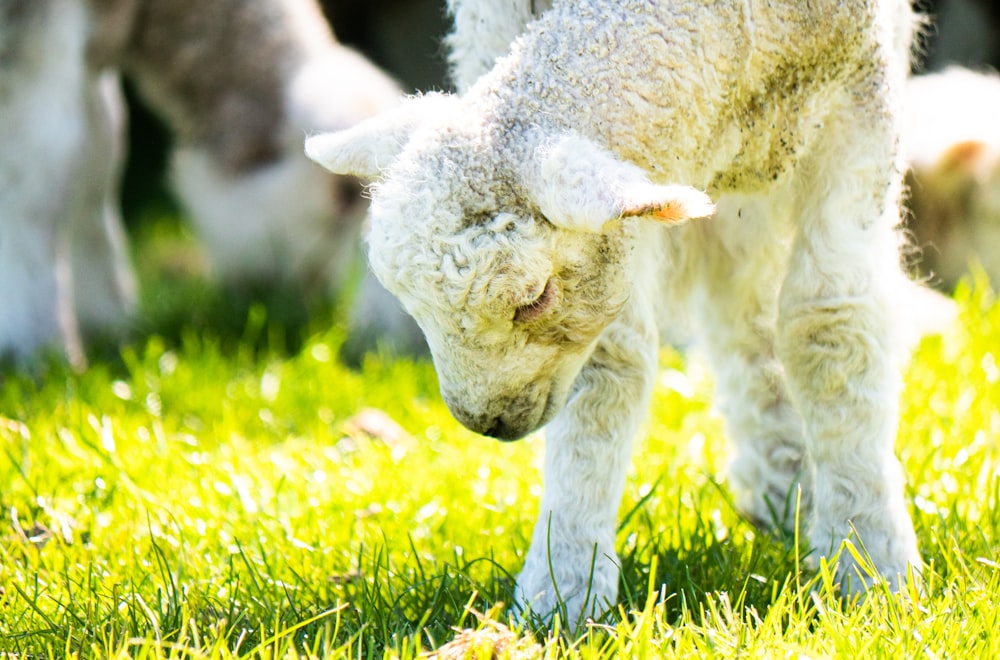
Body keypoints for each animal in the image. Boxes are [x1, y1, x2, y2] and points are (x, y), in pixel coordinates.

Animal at [1, 0, 406, 364]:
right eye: (339, 208)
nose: (301, 306)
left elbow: (100, 151)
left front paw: (108, 318)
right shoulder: (38, 32)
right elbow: (40, 164)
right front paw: (40, 347)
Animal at [308, 0, 924, 620]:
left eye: (534, 297)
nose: (484, 422)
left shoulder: (861, 98)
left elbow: (829, 324)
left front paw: (870, 563)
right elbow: (608, 371)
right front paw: (565, 587)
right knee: (740, 306)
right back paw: (784, 480)